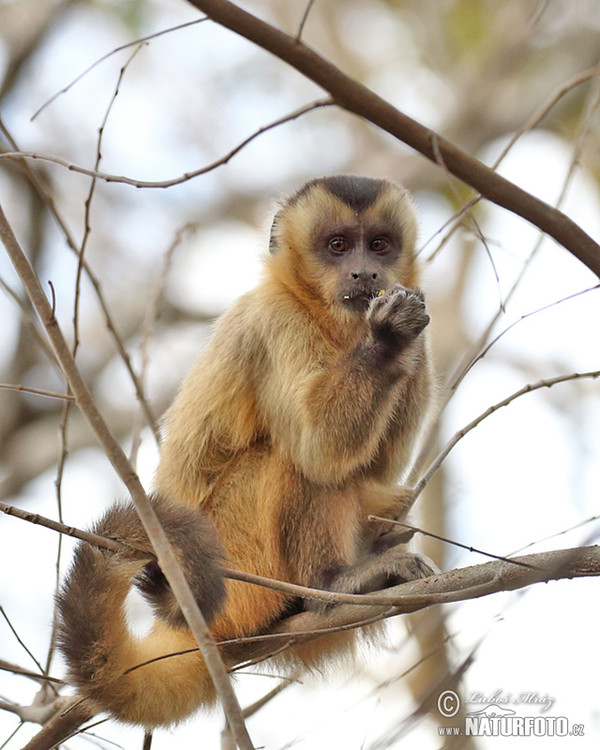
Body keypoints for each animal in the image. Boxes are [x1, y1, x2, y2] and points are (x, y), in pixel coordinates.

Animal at [58, 175, 436, 728]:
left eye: (380, 245)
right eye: (339, 245)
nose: (366, 271)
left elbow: (379, 467)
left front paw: (408, 336)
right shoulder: (275, 321)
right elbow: (321, 448)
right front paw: (388, 339)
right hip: (239, 569)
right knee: (290, 458)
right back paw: (334, 583)